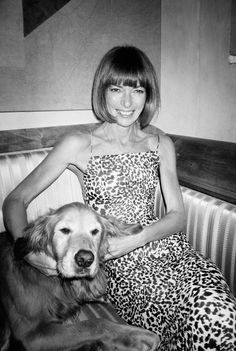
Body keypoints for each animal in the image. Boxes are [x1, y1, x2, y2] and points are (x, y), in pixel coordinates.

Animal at [0, 204, 159, 351]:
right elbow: (95, 324)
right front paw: (137, 336)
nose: (85, 259)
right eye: (64, 230)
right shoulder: (31, 334)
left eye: (95, 231)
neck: (58, 282)